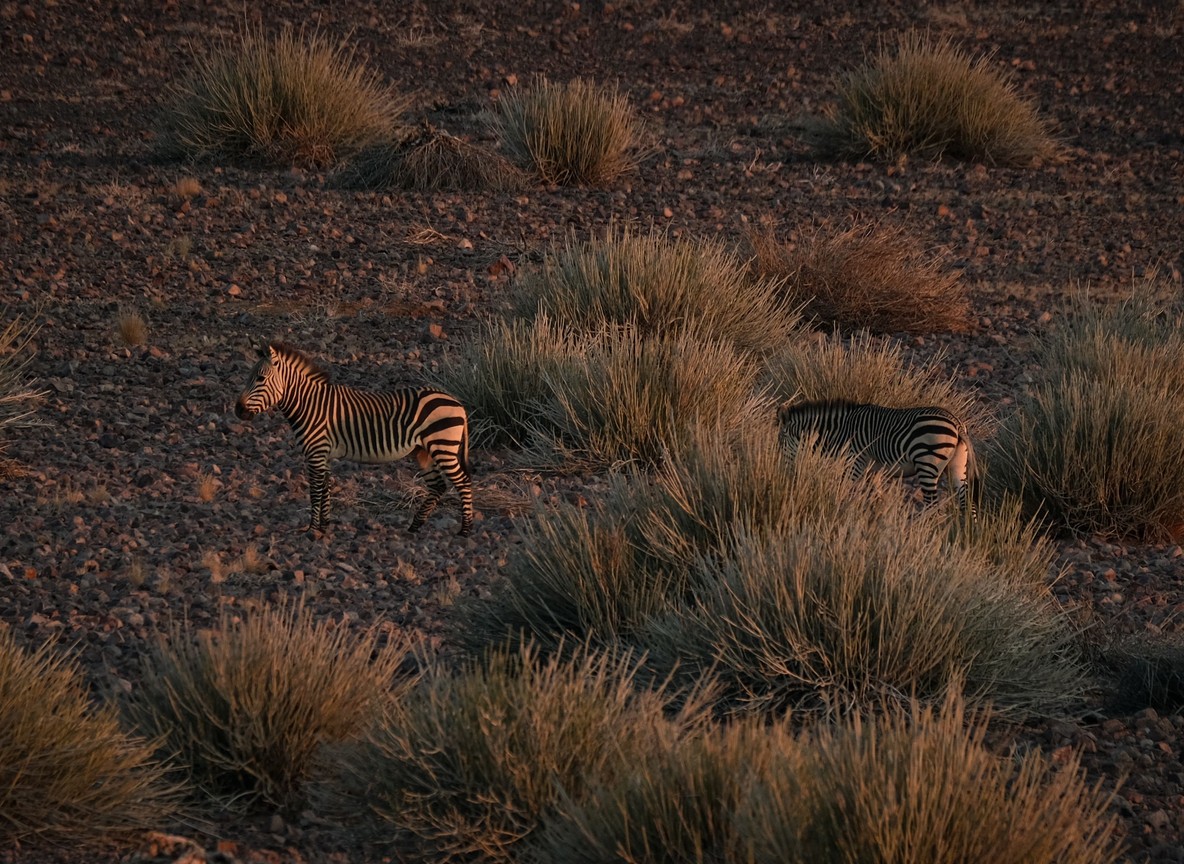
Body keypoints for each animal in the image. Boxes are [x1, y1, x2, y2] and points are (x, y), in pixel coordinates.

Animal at [234, 342, 473, 535]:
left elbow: (315, 491)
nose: (238, 411)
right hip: (423, 451)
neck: (309, 405)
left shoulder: (316, 452)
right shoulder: (324, 454)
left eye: (260, 379)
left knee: (462, 481)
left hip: (443, 447)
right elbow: (325, 489)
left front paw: (312, 530)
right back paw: (415, 527)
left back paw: (465, 530)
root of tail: (458, 403)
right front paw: (324, 527)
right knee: (438, 486)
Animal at [777, 399, 976, 515]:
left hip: (927, 462)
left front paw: (837, 510)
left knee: (933, 505)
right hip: (957, 465)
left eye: (780, 442)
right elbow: (877, 495)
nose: (786, 476)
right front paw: (878, 517)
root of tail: (956, 423)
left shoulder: (855, 461)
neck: (841, 432)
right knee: (967, 503)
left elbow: (844, 490)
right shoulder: (875, 470)